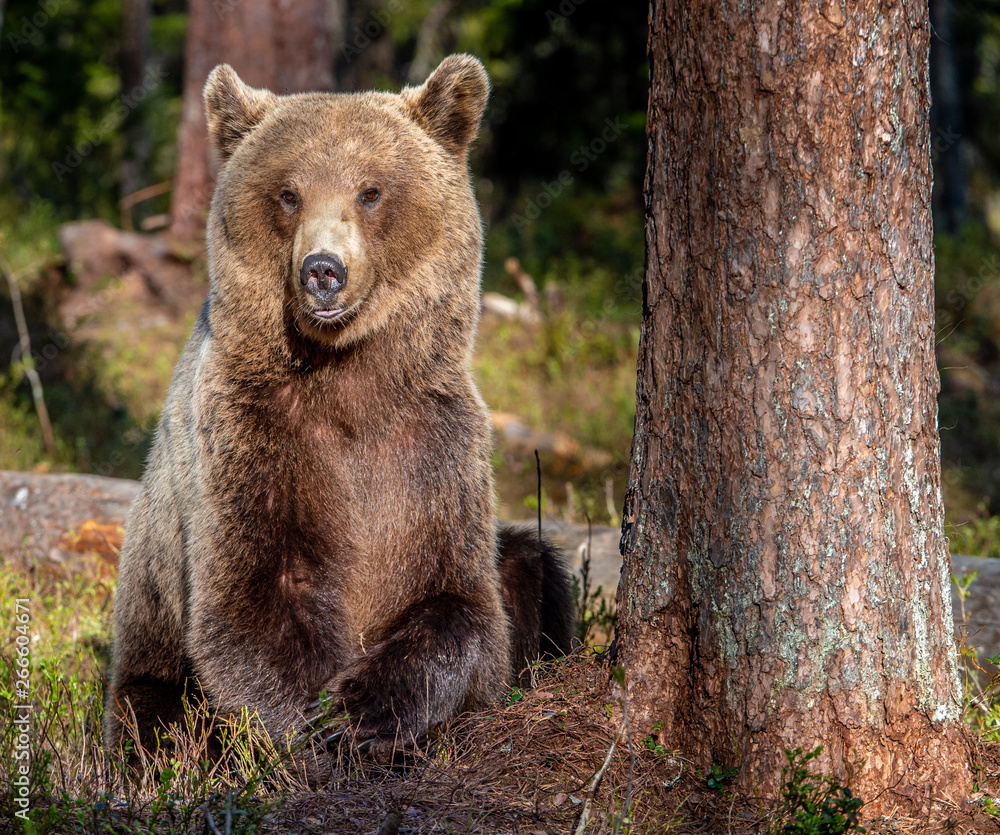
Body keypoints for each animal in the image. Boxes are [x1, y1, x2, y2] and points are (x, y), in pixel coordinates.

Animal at [104, 54, 574, 764]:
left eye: (370, 191)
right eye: (288, 193)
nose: (323, 270)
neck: (347, 372)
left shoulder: (433, 440)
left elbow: (459, 602)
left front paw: (365, 712)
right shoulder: (248, 433)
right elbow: (251, 603)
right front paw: (322, 725)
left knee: (528, 563)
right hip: (149, 638)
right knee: (153, 717)